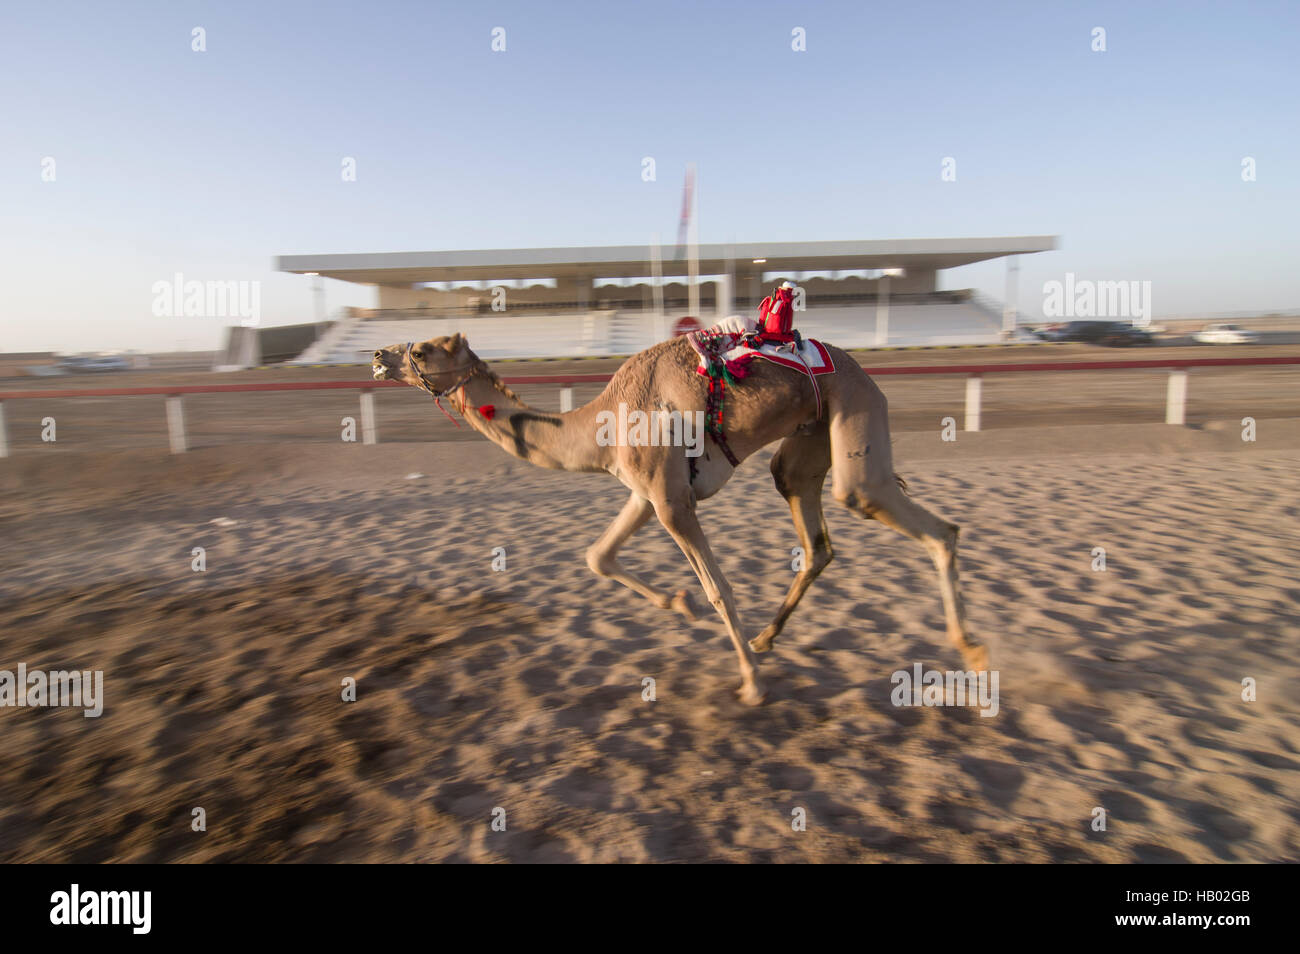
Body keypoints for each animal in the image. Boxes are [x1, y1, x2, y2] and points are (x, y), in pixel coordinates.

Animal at [371, 332, 987, 707]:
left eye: (422, 350)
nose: (378, 356)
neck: (599, 423)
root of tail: (866, 373)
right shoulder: (647, 493)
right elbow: (599, 556)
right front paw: (679, 604)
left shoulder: (671, 501)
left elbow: (720, 588)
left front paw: (750, 685)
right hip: (807, 441)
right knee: (814, 534)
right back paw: (766, 637)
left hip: (856, 413)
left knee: (917, 520)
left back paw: (974, 652)